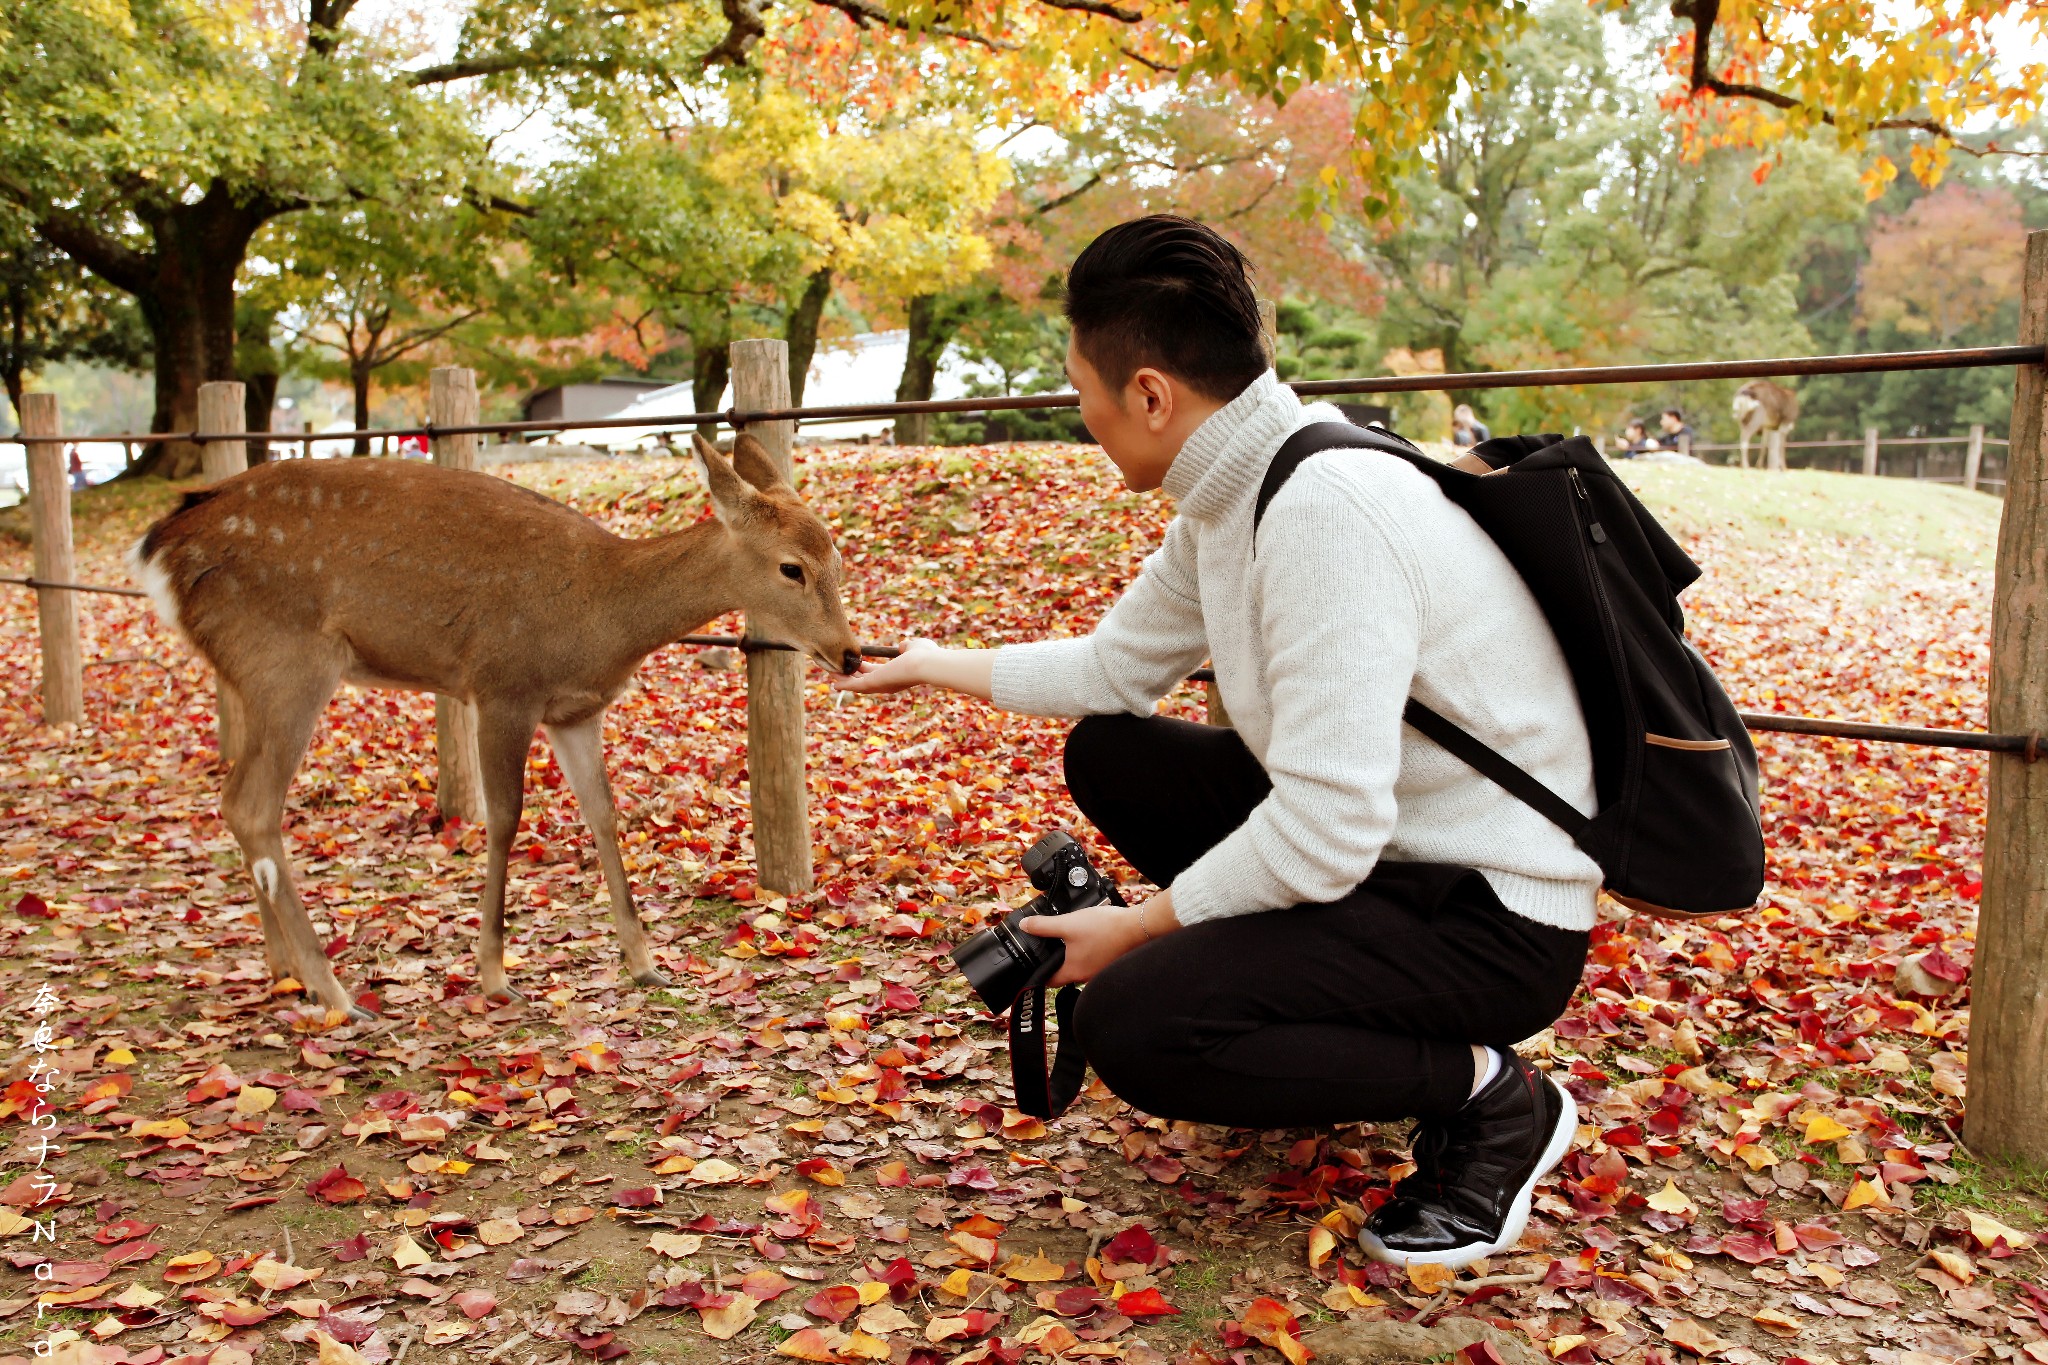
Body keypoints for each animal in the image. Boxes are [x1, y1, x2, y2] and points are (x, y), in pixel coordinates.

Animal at [132, 431, 860, 1019]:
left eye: (837, 558)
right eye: (791, 567)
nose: (851, 653)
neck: (602, 619)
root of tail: (157, 551)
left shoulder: (576, 710)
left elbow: (603, 814)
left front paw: (645, 963)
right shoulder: (502, 685)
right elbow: (506, 819)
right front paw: (493, 974)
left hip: (254, 671)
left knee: (236, 799)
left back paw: (286, 970)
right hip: (287, 657)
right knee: (252, 803)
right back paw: (335, 992)